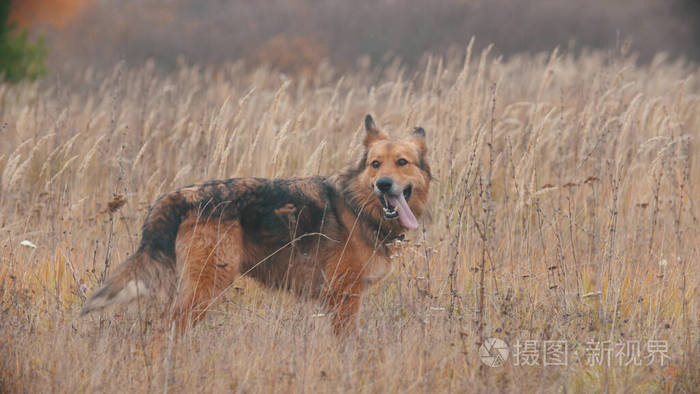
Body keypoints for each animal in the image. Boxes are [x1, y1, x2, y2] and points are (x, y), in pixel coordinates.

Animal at [82, 115, 432, 334]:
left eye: (402, 162)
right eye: (375, 164)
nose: (383, 185)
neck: (357, 206)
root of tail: (184, 194)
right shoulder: (345, 298)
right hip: (206, 287)